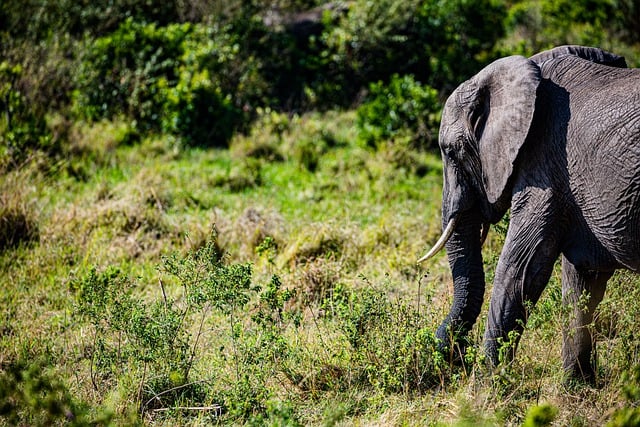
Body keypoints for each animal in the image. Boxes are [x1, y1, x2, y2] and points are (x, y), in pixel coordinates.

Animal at [420, 46, 640, 382]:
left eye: (449, 151)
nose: (455, 357)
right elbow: (581, 279)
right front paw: (578, 386)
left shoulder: (544, 165)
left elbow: (519, 269)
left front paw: (485, 387)